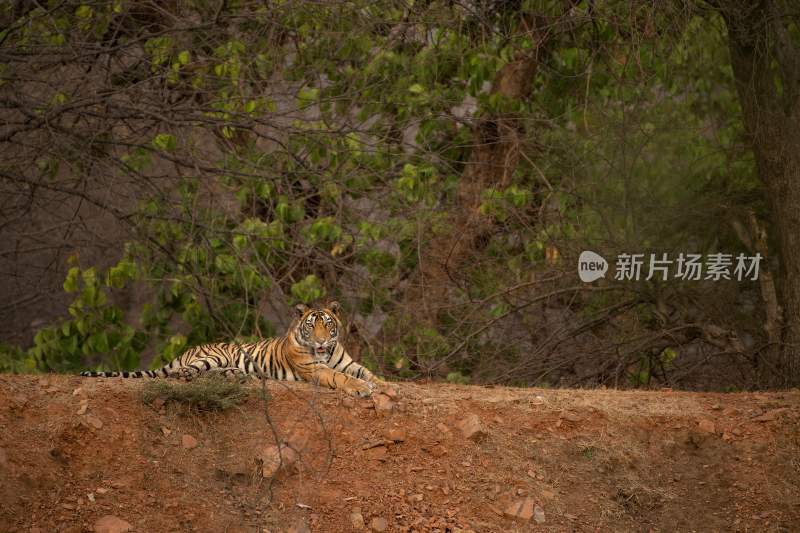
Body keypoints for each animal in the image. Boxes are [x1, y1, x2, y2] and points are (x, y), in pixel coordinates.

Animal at [79, 300, 380, 394]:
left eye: (327, 325)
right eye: (311, 326)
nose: (320, 341)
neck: (325, 353)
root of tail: (186, 350)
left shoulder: (350, 363)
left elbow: (369, 373)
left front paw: (383, 386)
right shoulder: (315, 369)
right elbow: (339, 377)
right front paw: (361, 389)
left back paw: (236, 375)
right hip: (213, 356)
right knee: (186, 372)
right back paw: (186, 373)